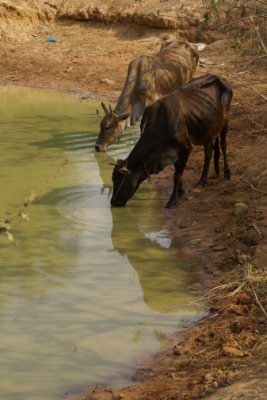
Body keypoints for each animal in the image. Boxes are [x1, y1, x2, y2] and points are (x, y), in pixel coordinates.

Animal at [110, 73, 233, 208]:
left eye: (118, 177)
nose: (113, 202)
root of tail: (220, 79)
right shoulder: (171, 152)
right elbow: (178, 174)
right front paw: (181, 192)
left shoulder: (185, 148)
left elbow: (177, 176)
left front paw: (173, 200)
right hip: (206, 130)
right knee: (209, 151)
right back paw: (202, 181)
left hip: (225, 122)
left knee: (223, 145)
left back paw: (227, 174)